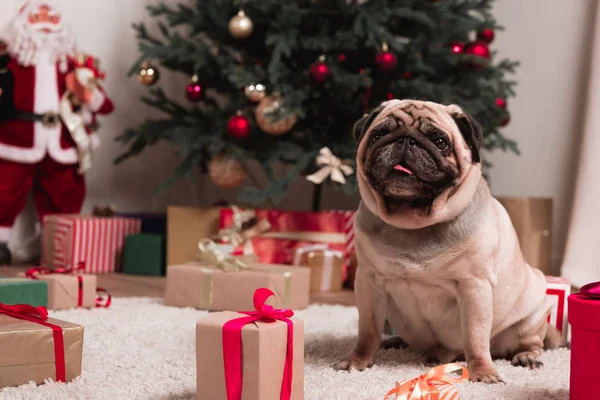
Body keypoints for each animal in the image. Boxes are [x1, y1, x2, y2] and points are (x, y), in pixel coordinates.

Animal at [336, 99, 560, 382]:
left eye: (440, 141)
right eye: (378, 135)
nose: (406, 140)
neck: (413, 223)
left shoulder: (474, 287)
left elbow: (475, 338)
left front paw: (482, 372)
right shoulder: (368, 282)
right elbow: (367, 331)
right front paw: (357, 360)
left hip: (533, 312)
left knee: (531, 342)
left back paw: (526, 356)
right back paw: (395, 342)